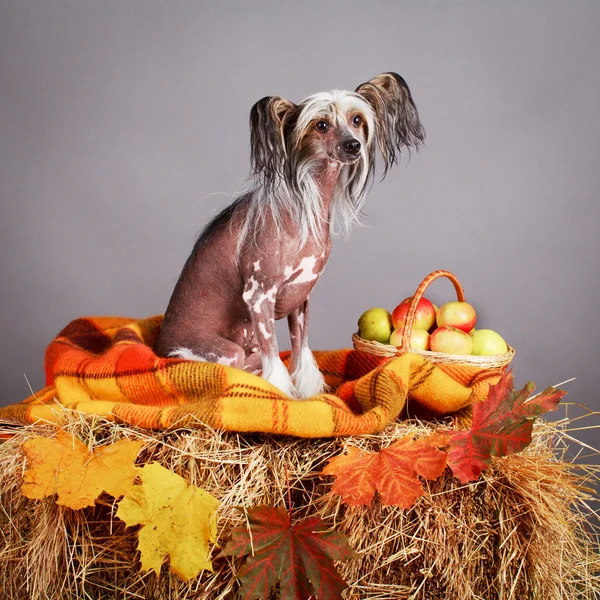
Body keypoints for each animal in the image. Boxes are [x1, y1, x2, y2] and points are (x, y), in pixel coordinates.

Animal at [155, 71, 426, 398]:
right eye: (321, 124)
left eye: (357, 119)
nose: (353, 145)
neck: (305, 206)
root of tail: (158, 347)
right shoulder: (259, 296)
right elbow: (275, 360)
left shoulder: (301, 299)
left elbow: (301, 351)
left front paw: (308, 392)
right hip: (226, 352)